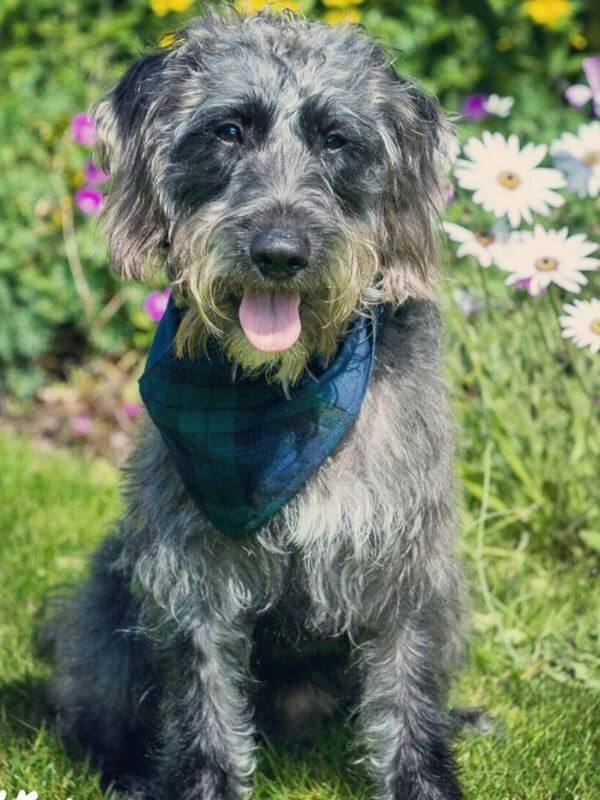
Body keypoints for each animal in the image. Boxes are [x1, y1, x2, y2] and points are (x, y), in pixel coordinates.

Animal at [48, 7, 468, 800]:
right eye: (230, 130)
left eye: (336, 139)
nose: (280, 252)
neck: (281, 396)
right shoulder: (192, 573)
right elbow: (205, 705)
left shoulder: (405, 563)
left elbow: (406, 697)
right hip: (102, 620)